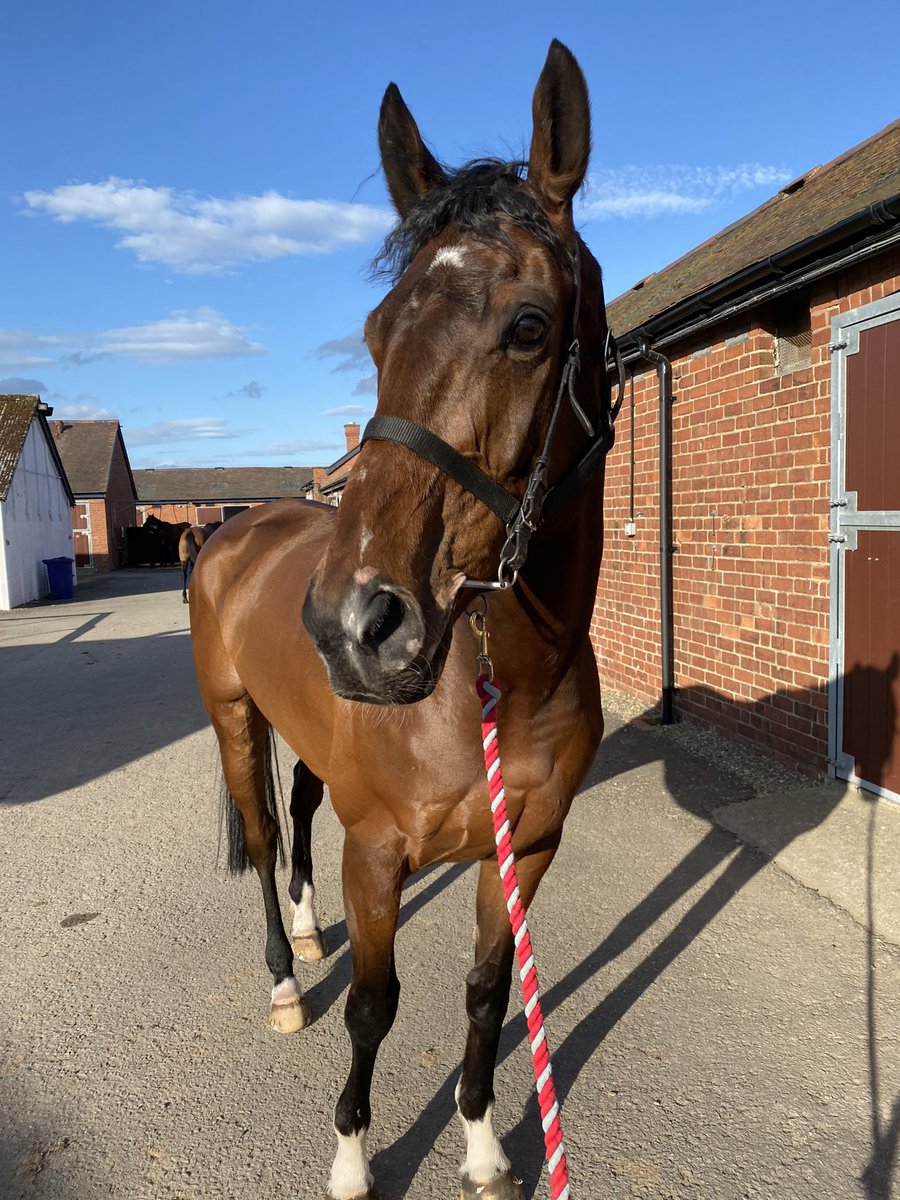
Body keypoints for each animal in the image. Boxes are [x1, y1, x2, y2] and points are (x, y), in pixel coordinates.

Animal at [190, 40, 618, 1200]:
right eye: (378, 334)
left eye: (529, 327)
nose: (355, 624)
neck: (502, 684)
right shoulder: (377, 855)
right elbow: (376, 1009)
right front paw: (350, 1156)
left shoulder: (528, 848)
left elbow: (486, 993)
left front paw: (481, 1143)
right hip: (235, 719)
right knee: (260, 829)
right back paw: (284, 976)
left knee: (297, 812)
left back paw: (304, 928)